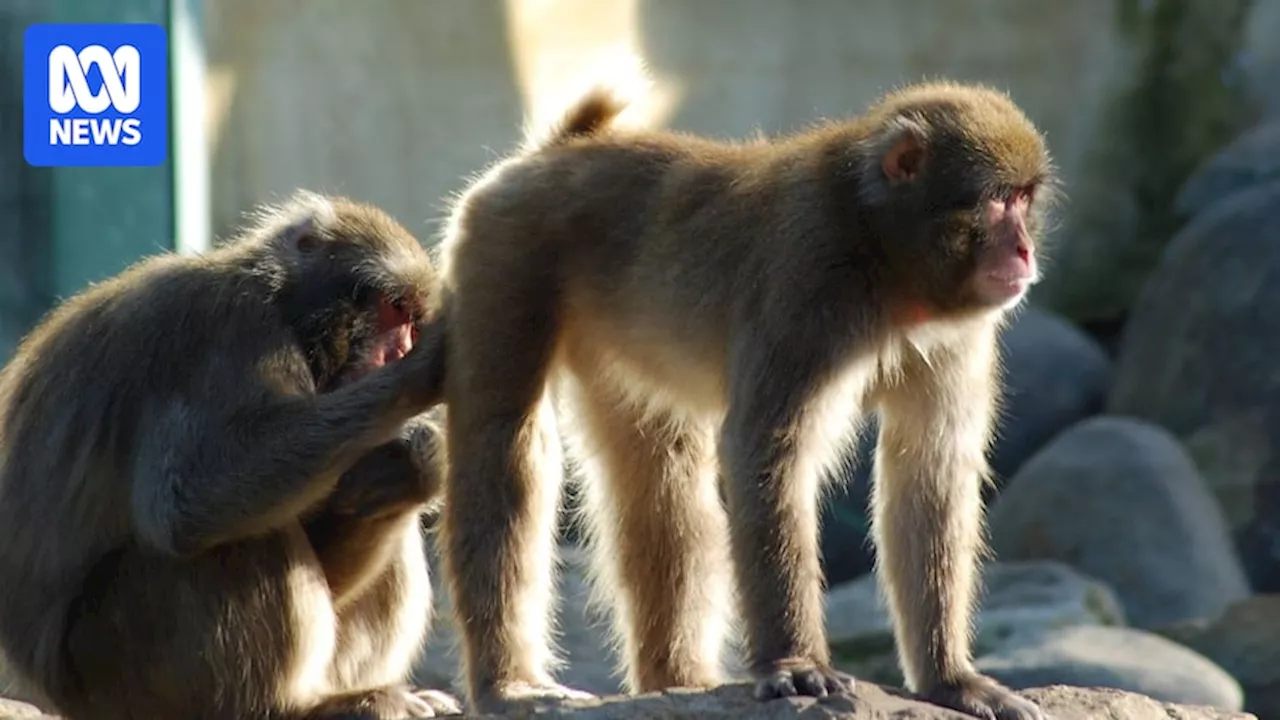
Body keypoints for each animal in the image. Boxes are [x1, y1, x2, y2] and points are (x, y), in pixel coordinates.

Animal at [0, 190, 465, 717]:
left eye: (411, 320)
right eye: (393, 309)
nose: (400, 351)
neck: (284, 311)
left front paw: (415, 461)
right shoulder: (227, 331)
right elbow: (190, 497)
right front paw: (418, 377)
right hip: (118, 663)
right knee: (234, 540)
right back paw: (291, 705)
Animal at [435, 74, 1054, 717]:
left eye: (1025, 200)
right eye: (998, 201)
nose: (1024, 251)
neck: (881, 252)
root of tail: (556, 151)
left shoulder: (957, 335)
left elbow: (929, 470)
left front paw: (949, 678)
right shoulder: (806, 279)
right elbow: (765, 451)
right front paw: (797, 665)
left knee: (660, 475)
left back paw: (677, 678)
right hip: (504, 251)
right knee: (505, 446)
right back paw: (510, 684)